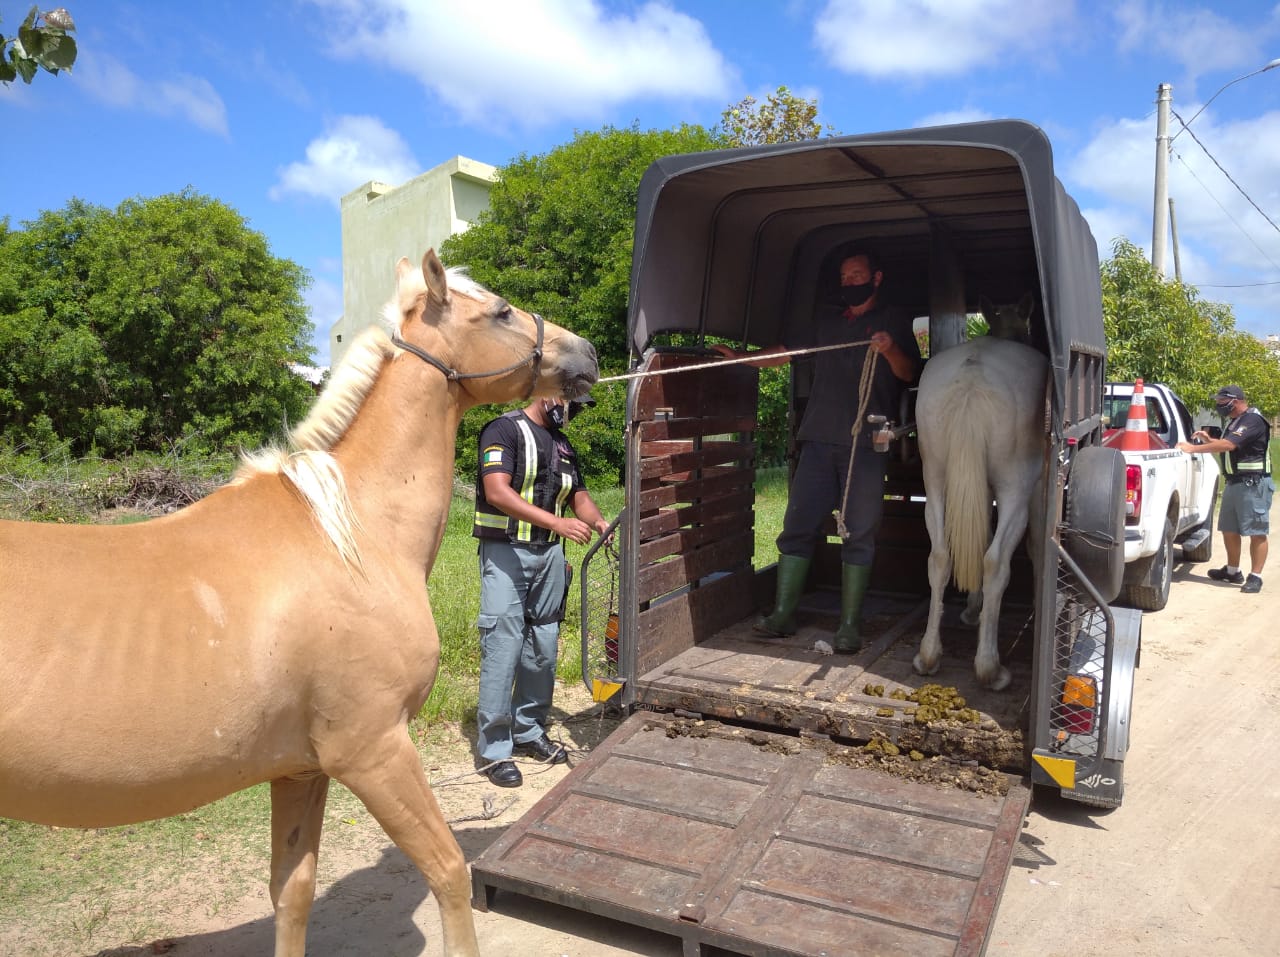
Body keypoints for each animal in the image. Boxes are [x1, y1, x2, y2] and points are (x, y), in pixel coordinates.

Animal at [0, 248, 596, 957]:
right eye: (501, 311)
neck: (349, 534)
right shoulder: (375, 751)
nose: (587, 353)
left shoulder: (301, 771)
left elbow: (293, 892)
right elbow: (449, 870)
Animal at [916, 295, 1044, 690]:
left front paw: (972, 607)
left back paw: (928, 655)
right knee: (995, 561)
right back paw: (990, 668)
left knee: (940, 556)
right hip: (1015, 489)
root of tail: (972, 378)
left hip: (935, 481)